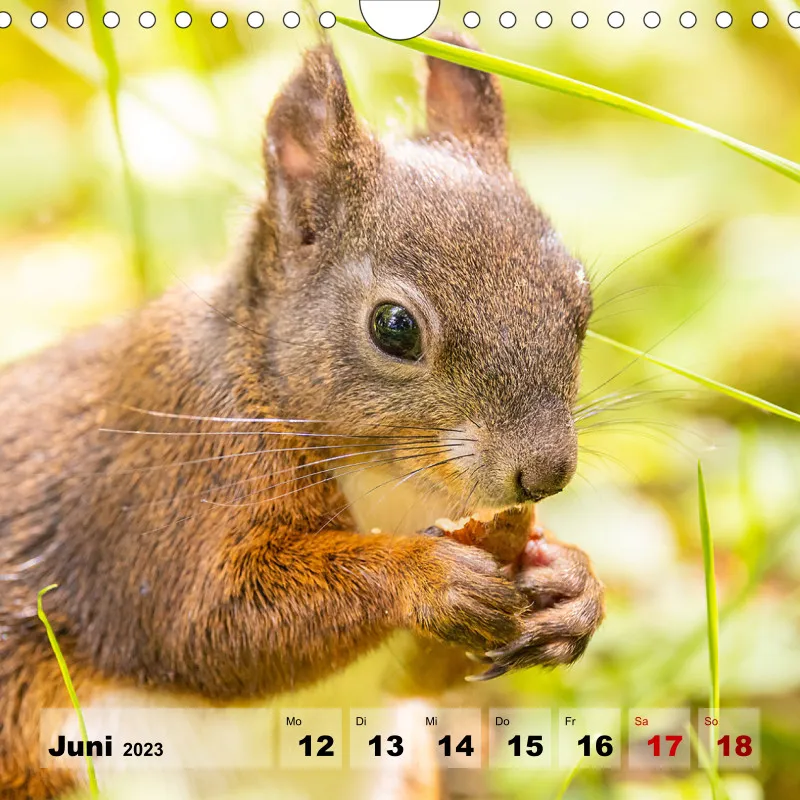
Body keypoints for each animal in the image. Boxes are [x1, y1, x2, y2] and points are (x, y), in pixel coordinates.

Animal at [0, 34, 604, 799]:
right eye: (395, 328)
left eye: (580, 297)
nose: (546, 472)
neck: (389, 483)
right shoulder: (167, 478)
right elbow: (209, 624)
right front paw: (426, 574)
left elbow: (424, 675)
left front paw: (573, 583)